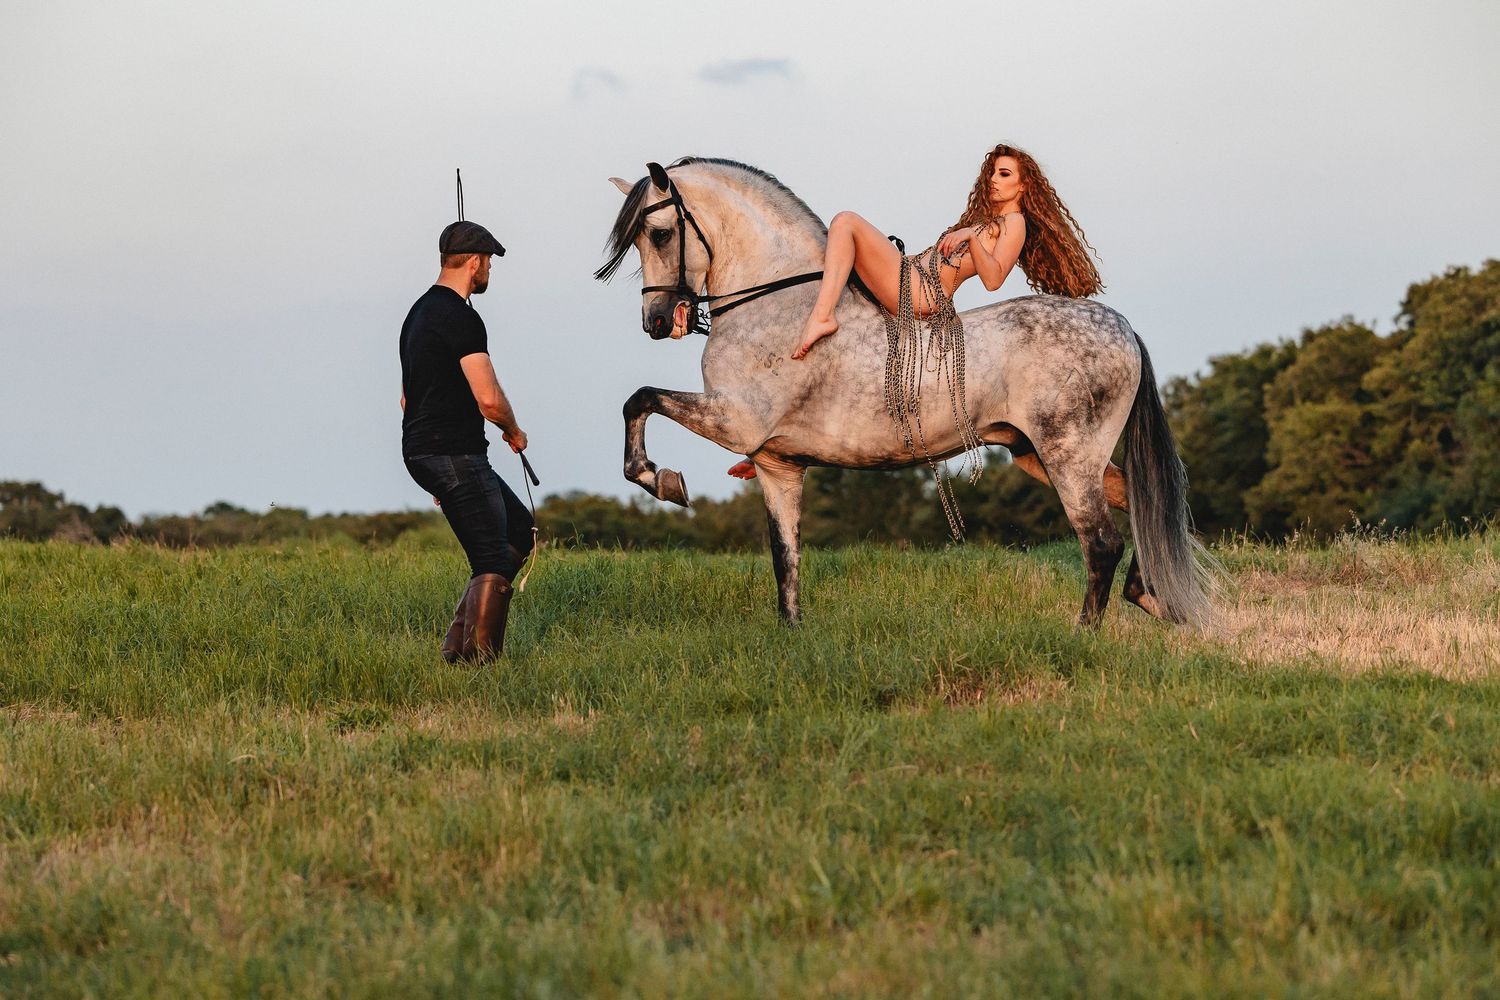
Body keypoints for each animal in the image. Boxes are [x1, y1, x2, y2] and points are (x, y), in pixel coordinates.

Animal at [597, 157, 1215, 628]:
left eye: (659, 234)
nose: (658, 322)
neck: (776, 302)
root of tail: (1122, 328)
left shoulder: (735, 421)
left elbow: (639, 400)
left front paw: (662, 480)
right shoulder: (776, 464)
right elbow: (785, 559)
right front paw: (791, 634)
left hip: (1068, 457)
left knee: (1101, 542)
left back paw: (1082, 635)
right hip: (1036, 455)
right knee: (1141, 503)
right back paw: (1150, 596)